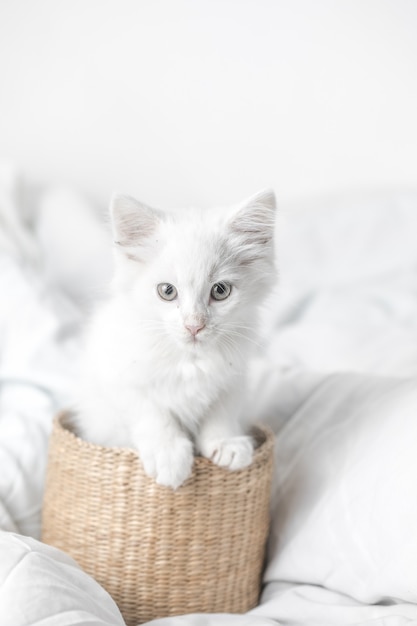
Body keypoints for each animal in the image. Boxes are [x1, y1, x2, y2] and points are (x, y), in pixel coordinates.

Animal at [75, 189, 276, 488]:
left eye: (220, 290)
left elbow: (221, 411)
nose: (194, 325)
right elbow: (152, 413)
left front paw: (225, 443)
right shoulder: (117, 378)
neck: (190, 360)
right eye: (167, 291)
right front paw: (168, 454)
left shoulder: (233, 380)